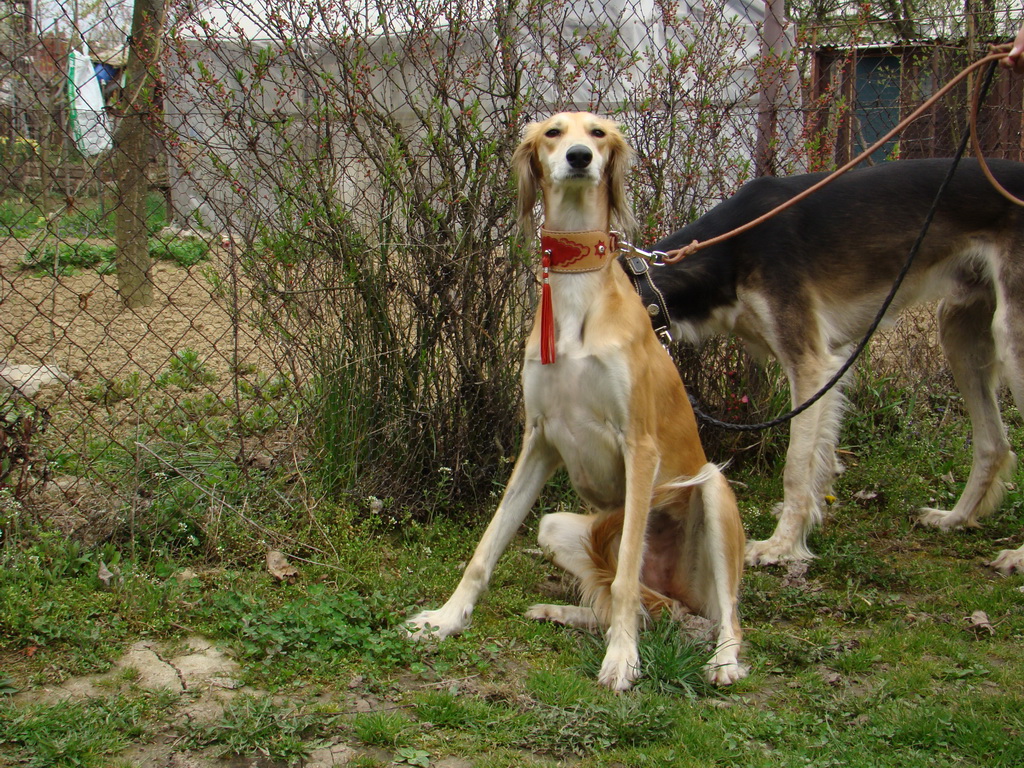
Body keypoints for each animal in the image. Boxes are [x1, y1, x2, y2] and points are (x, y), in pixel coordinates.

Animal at [403, 109, 749, 692]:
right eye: (553, 133)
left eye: (599, 133)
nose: (580, 158)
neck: (575, 291)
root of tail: (677, 591)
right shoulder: (539, 439)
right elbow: (485, 546)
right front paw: (447, 619)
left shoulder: (640, 447)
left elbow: (626, 571)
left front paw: (622, 660)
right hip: (561, 527)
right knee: (632, 603)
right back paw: (564, 614)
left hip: (710, 490)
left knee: (721, 613)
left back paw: (721, 660)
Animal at [630, 159, 1024, 573]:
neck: (729, 252)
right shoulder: (829, 364)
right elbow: (820, 457)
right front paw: (807, 517)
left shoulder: (810, 362)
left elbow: (796, 464)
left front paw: (780, 545)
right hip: (958, 329)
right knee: (995, 445)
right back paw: (955, 518)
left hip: (1012, 338)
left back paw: (1017, 554)